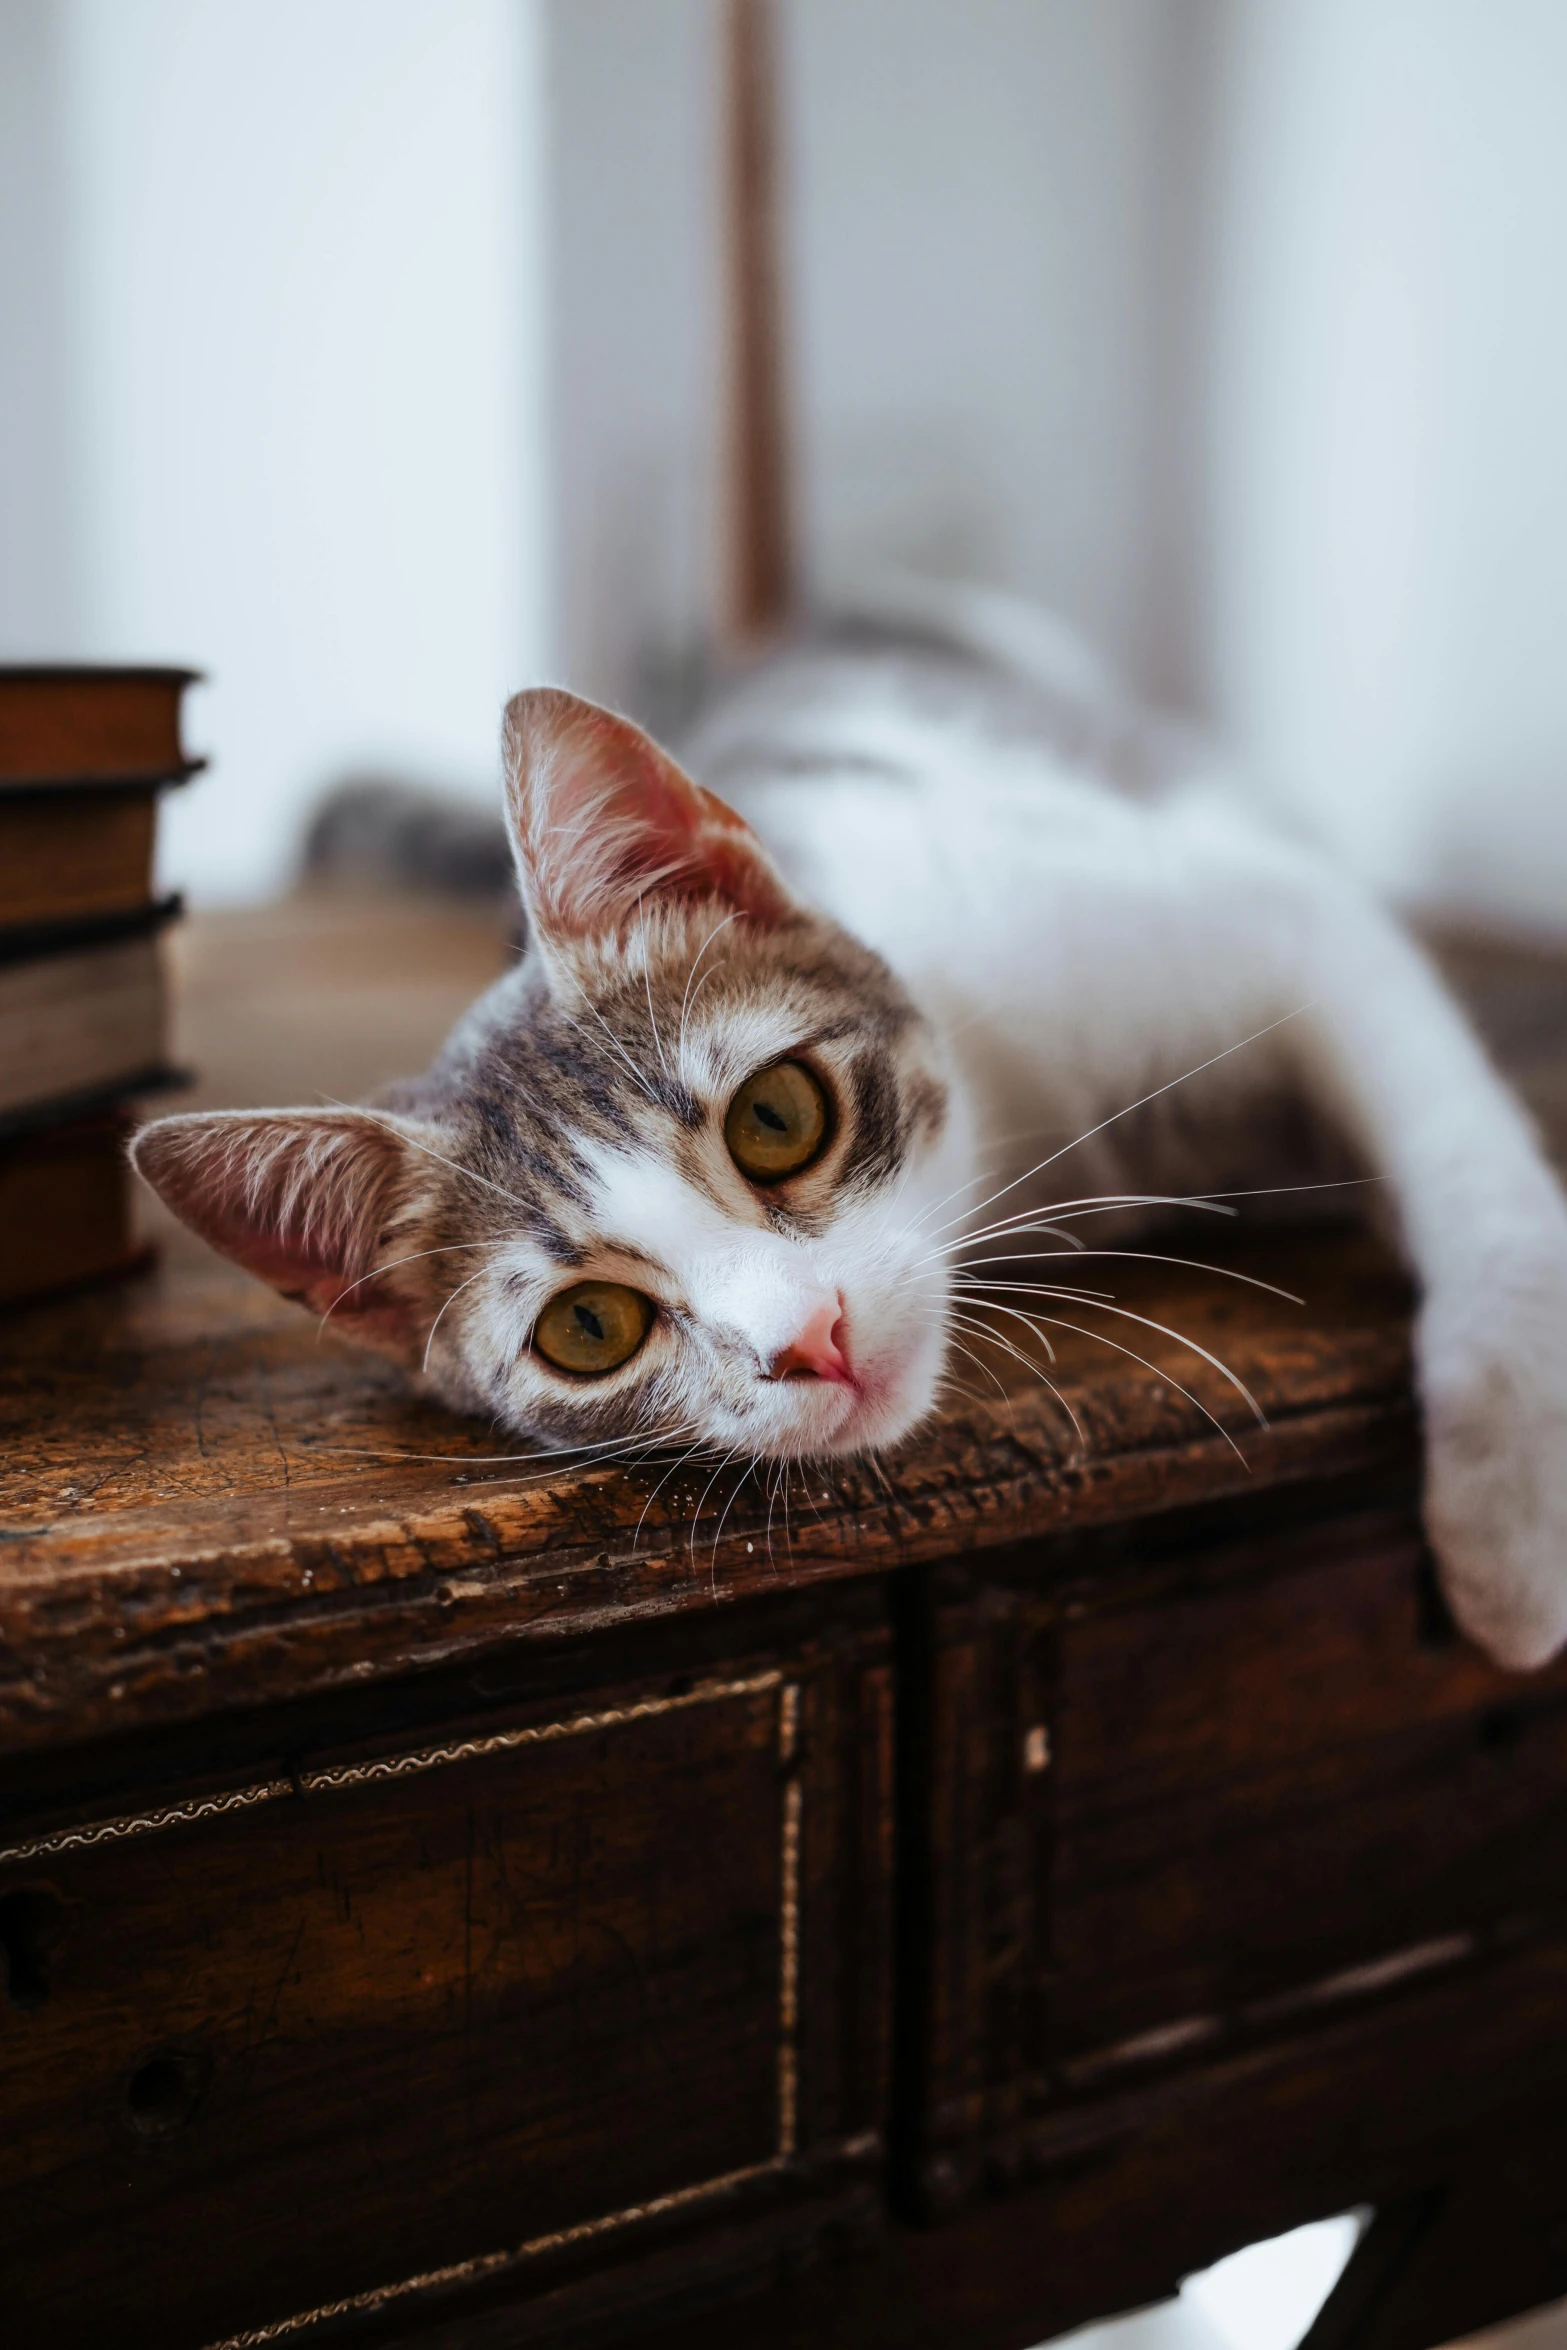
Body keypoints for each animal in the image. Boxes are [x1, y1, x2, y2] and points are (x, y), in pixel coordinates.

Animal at [125, 585, 1567, 1673]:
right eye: (588, 1328)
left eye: (775, 1117)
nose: (806, 1339)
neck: (1019, 1133)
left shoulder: (1278, 919)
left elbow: (1465, 1167)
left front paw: (1511, 1510)